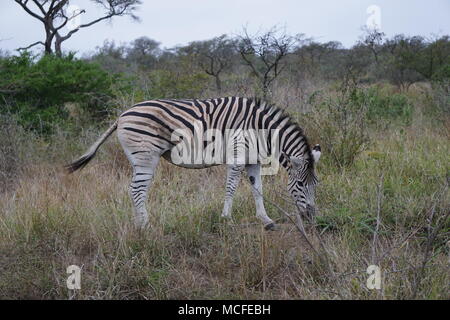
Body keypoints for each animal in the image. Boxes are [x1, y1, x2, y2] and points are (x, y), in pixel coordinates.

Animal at [66, 97, 320, 230]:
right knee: (136, 189)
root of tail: (122, 115)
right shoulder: (237, 156)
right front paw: (226, 218)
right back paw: (145, 226)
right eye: (299, 185)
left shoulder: (253, 161)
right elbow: (231, 188)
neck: (261, 130)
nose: (311, 216)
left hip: (140, 158)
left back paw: (139, 223)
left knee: (136, 189)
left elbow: (257, 189)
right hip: (145, 155)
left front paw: (266, 220)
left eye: (316, 185)